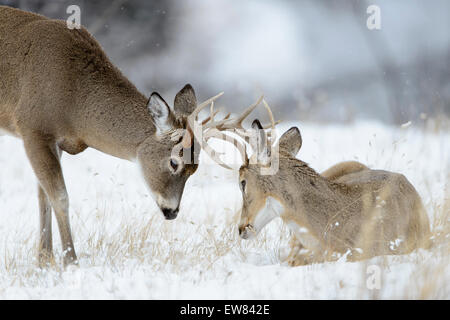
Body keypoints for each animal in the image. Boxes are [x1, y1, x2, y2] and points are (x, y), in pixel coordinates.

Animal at [0, 6, 229, 264]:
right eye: (174, 162)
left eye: (195, 169)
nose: (172, 212)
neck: (75, 102)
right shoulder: (32, 127)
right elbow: (59, 196)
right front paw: (70, 261)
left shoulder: (56, 141)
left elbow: (43, 196)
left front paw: (45, 261)